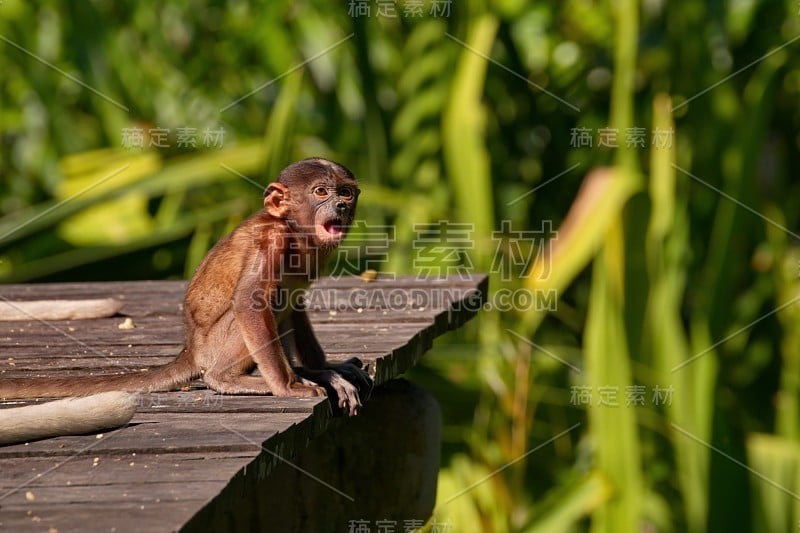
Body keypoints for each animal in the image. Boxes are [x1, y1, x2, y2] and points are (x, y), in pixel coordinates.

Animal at [0, 157, 374, 416]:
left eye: (345, 192)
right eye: (321, 192)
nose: (341, 205)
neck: (295, 232)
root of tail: (191, 348)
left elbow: (296, 301)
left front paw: (323, 369)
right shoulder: (272, 240)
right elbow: (249, 301)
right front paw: (288, 386)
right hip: (214, 346)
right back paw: (226, 378)